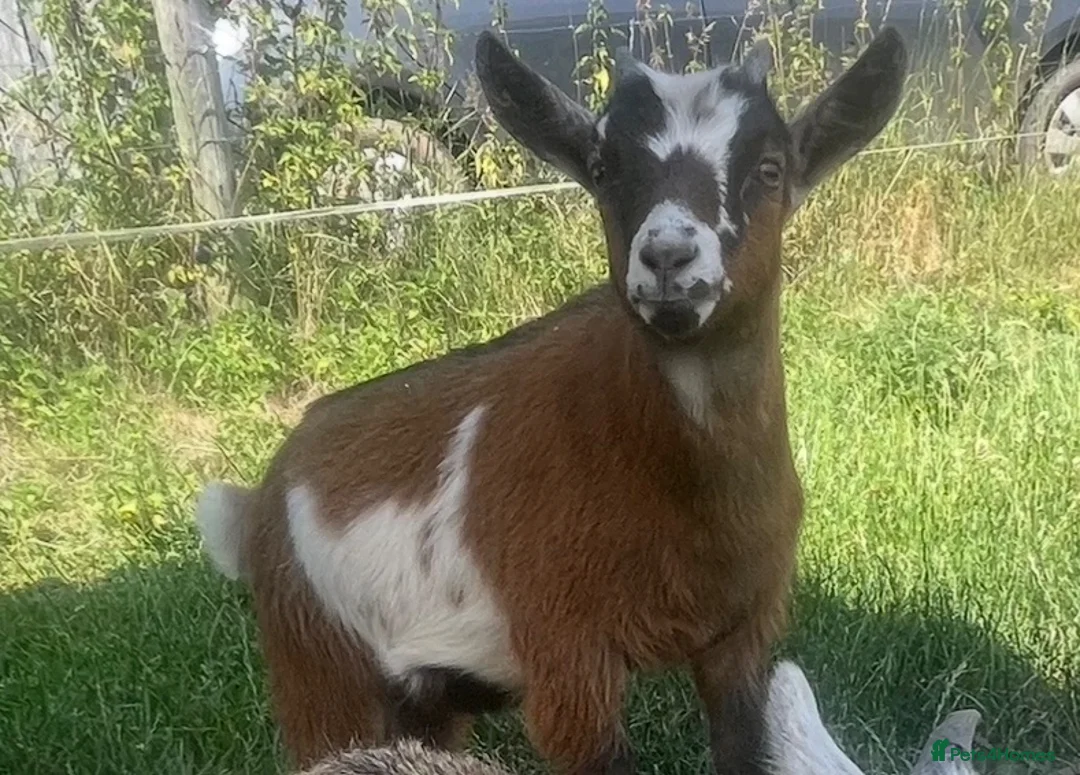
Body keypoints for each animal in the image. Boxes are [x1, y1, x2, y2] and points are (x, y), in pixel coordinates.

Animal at [195, 28, 908, 775]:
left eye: (770, 169)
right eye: (602, 166)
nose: (668, 257)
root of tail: (257, 499)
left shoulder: (741, 637)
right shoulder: (569, 659)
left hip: (423, 693)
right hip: (317, 660)